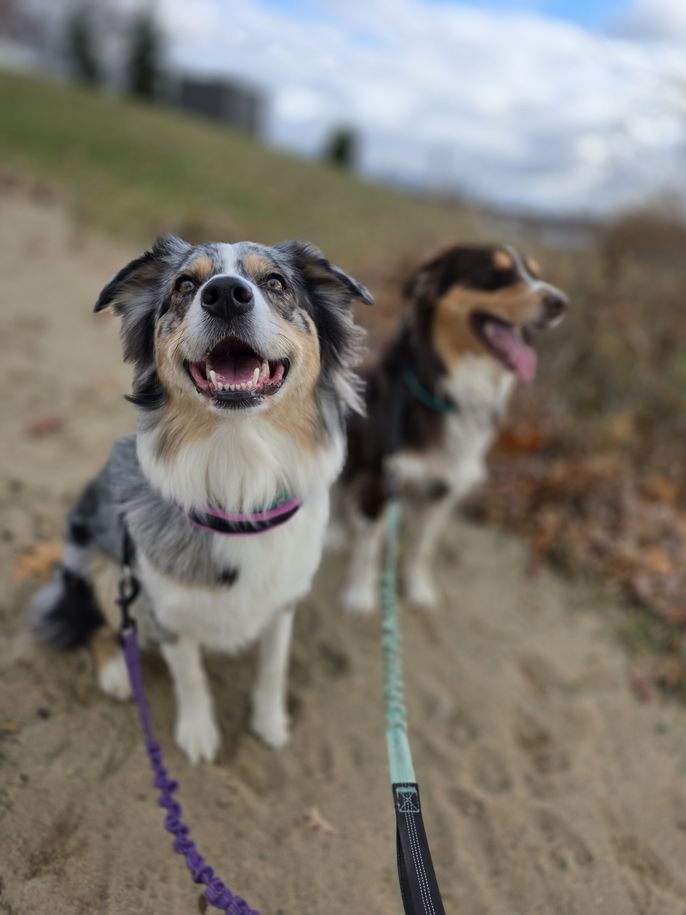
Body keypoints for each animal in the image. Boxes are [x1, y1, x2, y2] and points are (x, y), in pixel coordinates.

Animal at [30, 234, 371, 763]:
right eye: (185, 286)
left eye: (276, 282)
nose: (226, 294)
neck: (240, 472)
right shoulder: (165, 611)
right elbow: (189, 676)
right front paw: (198, 733)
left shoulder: (284, 601)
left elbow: (274, 666)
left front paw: (270, 723)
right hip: (99, 560)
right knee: (102, 624)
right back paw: (117, 672)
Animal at [339, 243, 568, 614]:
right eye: (496, 274)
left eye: (536, 274)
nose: (561, 303)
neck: (450, 390)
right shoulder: (381, 476)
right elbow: (368, 547)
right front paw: (360, 595)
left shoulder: (445, 487)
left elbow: (422, 546)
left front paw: (418, 589)